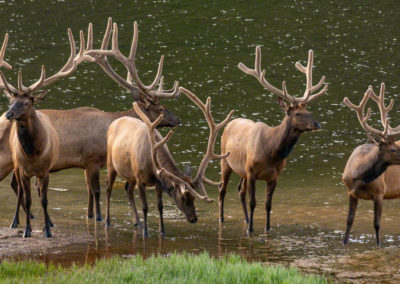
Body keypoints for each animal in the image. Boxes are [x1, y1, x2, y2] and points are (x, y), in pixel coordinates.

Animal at [0, 17, 180, 226]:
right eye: (161, 109)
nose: (177, 119)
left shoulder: (85, 164)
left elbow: (88, 193)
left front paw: (90, 215)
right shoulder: (92, 159)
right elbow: (96, 191)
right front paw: (101, 218)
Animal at [104, 87, 233, 237]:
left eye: (194, 198)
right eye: (183, 198)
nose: (194, 219)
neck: (152, 165)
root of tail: (114, 122)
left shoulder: (158, 182)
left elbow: (160, 206)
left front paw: (162, 231)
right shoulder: (140, 179)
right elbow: (145, 207)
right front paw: (146, 233)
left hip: (130, 175)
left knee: (128, 189)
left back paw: (137, 223)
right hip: (111, 163)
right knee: (108, 189)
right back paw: (107, 221)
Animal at [219, 47, 328, 233]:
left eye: (309, 111)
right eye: (297, 114)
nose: (317, 124)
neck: (271, 153)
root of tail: (229, 124)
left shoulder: (275, 176)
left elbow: (268, 205)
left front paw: (267, 228)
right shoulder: (251, 171)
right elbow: (253, 202)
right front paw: (251, 230)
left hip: (241, 170)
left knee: (240, 190)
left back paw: (246, 219)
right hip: (225, 160)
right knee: (222, 190)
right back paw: (223, 219)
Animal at [342, 83, 400, 245]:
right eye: (393, 149)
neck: (359, 177)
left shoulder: (380, 192)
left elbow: (377, 224)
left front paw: (378, 245)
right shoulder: (350, 192)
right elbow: (349, 221)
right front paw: (344, 242)